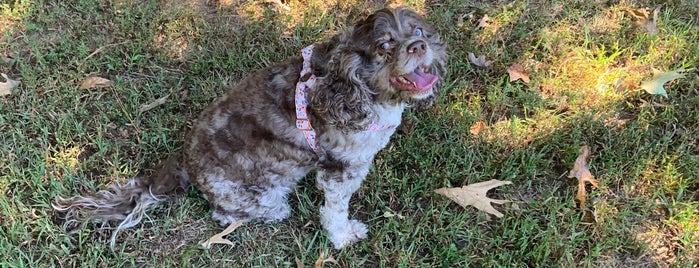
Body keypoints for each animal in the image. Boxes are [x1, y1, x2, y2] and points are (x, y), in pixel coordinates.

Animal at [54, 6, 448, 249]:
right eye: (384, 46)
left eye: (417, 30)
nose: (419, 45)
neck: (350, 88)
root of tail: (183, 163)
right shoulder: (340, 168)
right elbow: (335, 210)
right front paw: (343, 236)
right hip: (263, 196)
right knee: (232, 212)